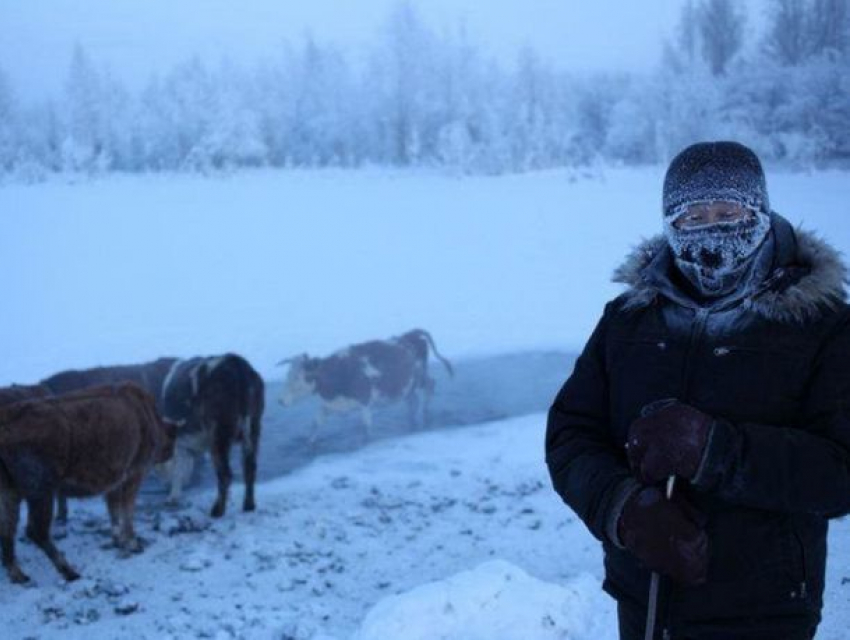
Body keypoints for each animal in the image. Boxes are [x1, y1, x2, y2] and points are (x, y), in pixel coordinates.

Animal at [0, 382, 176, 584]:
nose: (170, 452)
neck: (147, 416)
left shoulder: (114, 483)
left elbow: (114, 511)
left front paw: (117, 539)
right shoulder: (134, 474)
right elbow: (127, 511)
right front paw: (133, 543)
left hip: (11, 492)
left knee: (7, 530)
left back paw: (18, 574)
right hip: (40, 492)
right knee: (35, 531)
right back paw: (69, 571)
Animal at [159, 356, 264, 520]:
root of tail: (236, 362)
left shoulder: (180, 444)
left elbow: (178, 470)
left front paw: (173, 497)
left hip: (219, 434)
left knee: (225, 474)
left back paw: (217, 510)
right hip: (253, 429)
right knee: (250, 468)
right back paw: (249, 506)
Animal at [276, 328, 450, 442]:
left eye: (299, 377)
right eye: (287, 375)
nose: (281, 401)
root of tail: (410, 334)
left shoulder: (364, 401)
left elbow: (366, 427)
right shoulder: (329, 404)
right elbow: (316, 424)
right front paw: (309, 443)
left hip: (420, 376)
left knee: (430, 386)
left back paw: (425, 414)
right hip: (407, 386)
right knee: (413, 400)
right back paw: (412, 420)